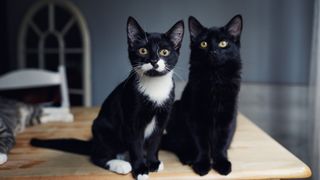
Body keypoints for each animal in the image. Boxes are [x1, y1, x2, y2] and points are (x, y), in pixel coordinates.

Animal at [31, 16, 185, 179]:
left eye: (164, 52)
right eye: (143, 50)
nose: (154, 61)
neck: (155, 86)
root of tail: (94, 143)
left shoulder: (163, 118)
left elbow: (155, 142)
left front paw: (153, 162)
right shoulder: (132, 120)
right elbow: (136, 145)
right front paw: (140, 169)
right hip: (102, 128)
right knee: (97, 156)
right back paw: (120, 164)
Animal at [162, 15, 242, 176]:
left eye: (223, 43)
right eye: (204, 44)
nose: (213, 52)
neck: (215, 78)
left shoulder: (228, 116)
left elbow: (221, 143)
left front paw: (222, 163)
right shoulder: (196, 116)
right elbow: (202, 144)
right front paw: (202, 164)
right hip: (176, 110)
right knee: (176, 145)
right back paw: (188, 157)